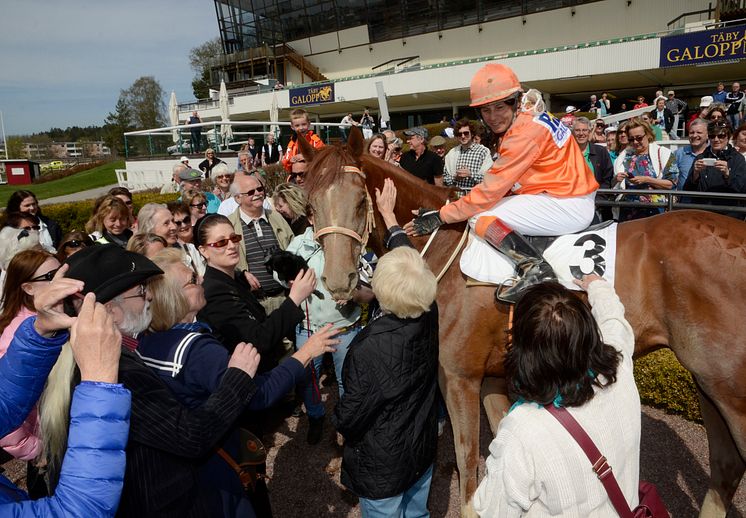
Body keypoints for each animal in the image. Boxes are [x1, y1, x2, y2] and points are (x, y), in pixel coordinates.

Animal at [296, 129, 744, 516]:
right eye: (311, 205)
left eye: (359, 201)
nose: (338, 281)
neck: (443, 251)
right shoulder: (493, 376)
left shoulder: (459, 377)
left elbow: (469, 470)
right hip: (707, 383)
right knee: (726, 467)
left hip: (730, 390)